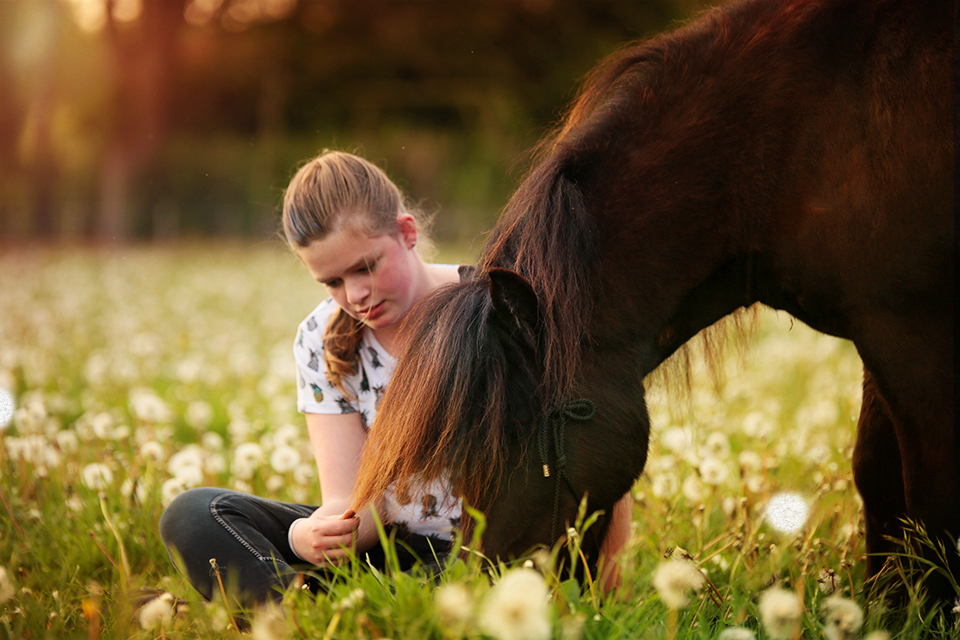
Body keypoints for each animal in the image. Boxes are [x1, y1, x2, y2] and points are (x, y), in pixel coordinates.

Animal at [354, 0, 960, 600]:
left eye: (506, 437)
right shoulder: (879, 332)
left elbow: (928, 493)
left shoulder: (908, 332)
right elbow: (876, 470)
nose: (482, 585)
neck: (798, 141)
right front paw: (886, 604)